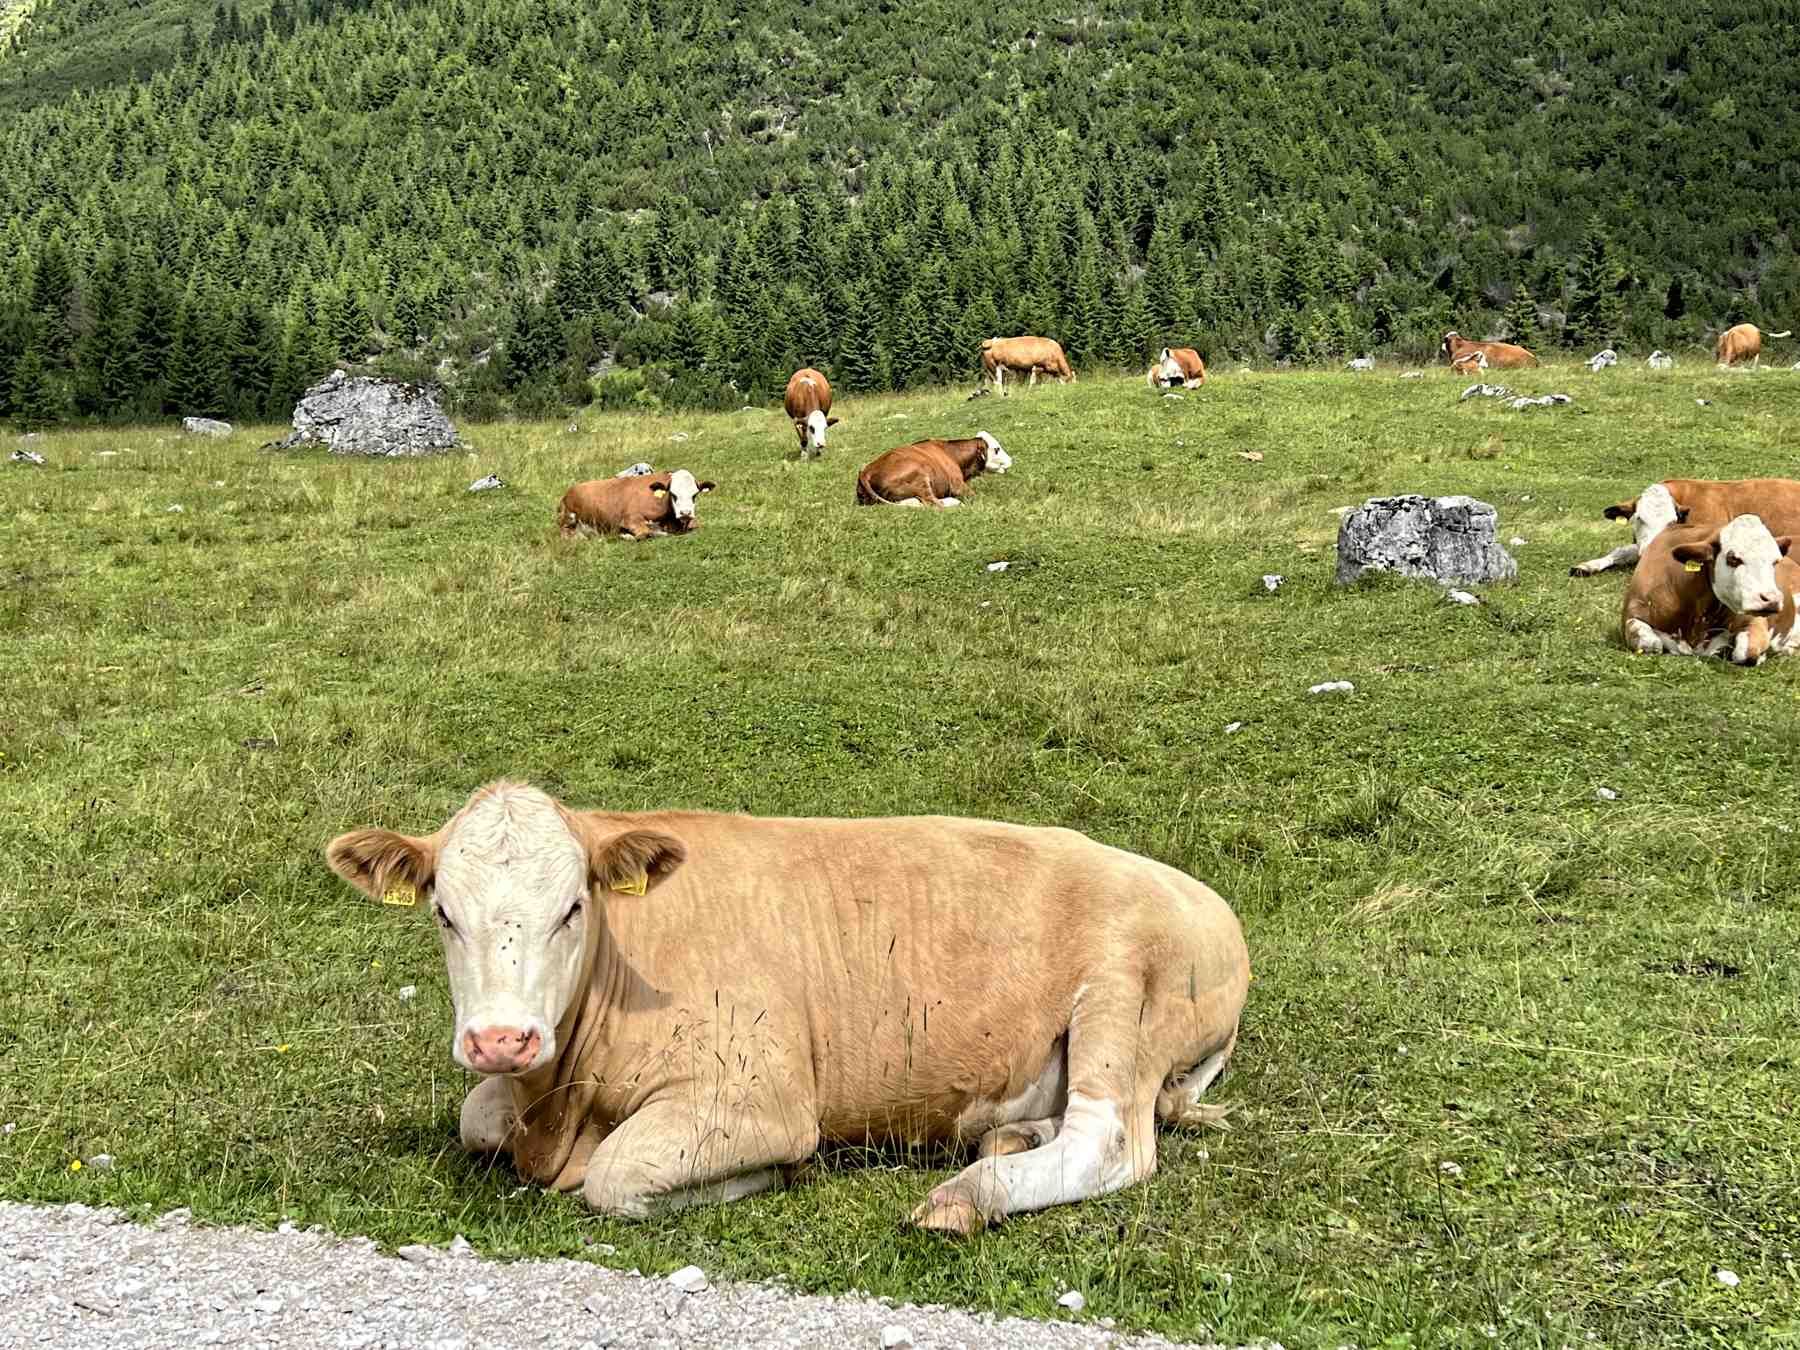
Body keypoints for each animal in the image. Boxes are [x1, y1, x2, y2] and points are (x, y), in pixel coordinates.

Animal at [324, 782, 1250, 1234]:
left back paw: (966, 1196)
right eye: (444, 913)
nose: (502, 1039)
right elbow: (475, 1118)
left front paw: (769, 1175)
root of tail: (1207, 900)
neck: (559, 1102)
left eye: (573, 908)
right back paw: (1010, 1136)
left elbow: (617, 1175)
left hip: (1123, 996)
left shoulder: (760, 1095)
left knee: (1112, 1142)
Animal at [557, 469, 714, 540]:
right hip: (569, 518)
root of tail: (569, 491)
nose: (685, 513)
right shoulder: (630, 519)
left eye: (695, 494)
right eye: (673, 494)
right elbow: (645, 533)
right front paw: (626, 535)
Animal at [855, 433, 1012, 509]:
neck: (952, 454)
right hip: (920, 477)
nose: (1011, 460)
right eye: (997, 449)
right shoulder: (958, 485)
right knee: (934, 503)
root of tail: (866, 471)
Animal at [1621, 515, 1793, 662]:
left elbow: (1747, 652)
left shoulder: (1754, 620)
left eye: (1775, 561)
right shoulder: (1632, 614)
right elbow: (1650, 644)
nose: (1772, 599)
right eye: (1733, 558)